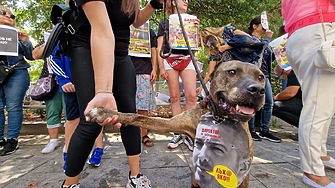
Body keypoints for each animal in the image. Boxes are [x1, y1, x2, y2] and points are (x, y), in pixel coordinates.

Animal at [88, 60, 266, 188]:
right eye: (232, 72)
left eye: (261, 77)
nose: (257, 90)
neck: (219, 118)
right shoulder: (171, 123)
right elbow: (135, 116)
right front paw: (104, 112)